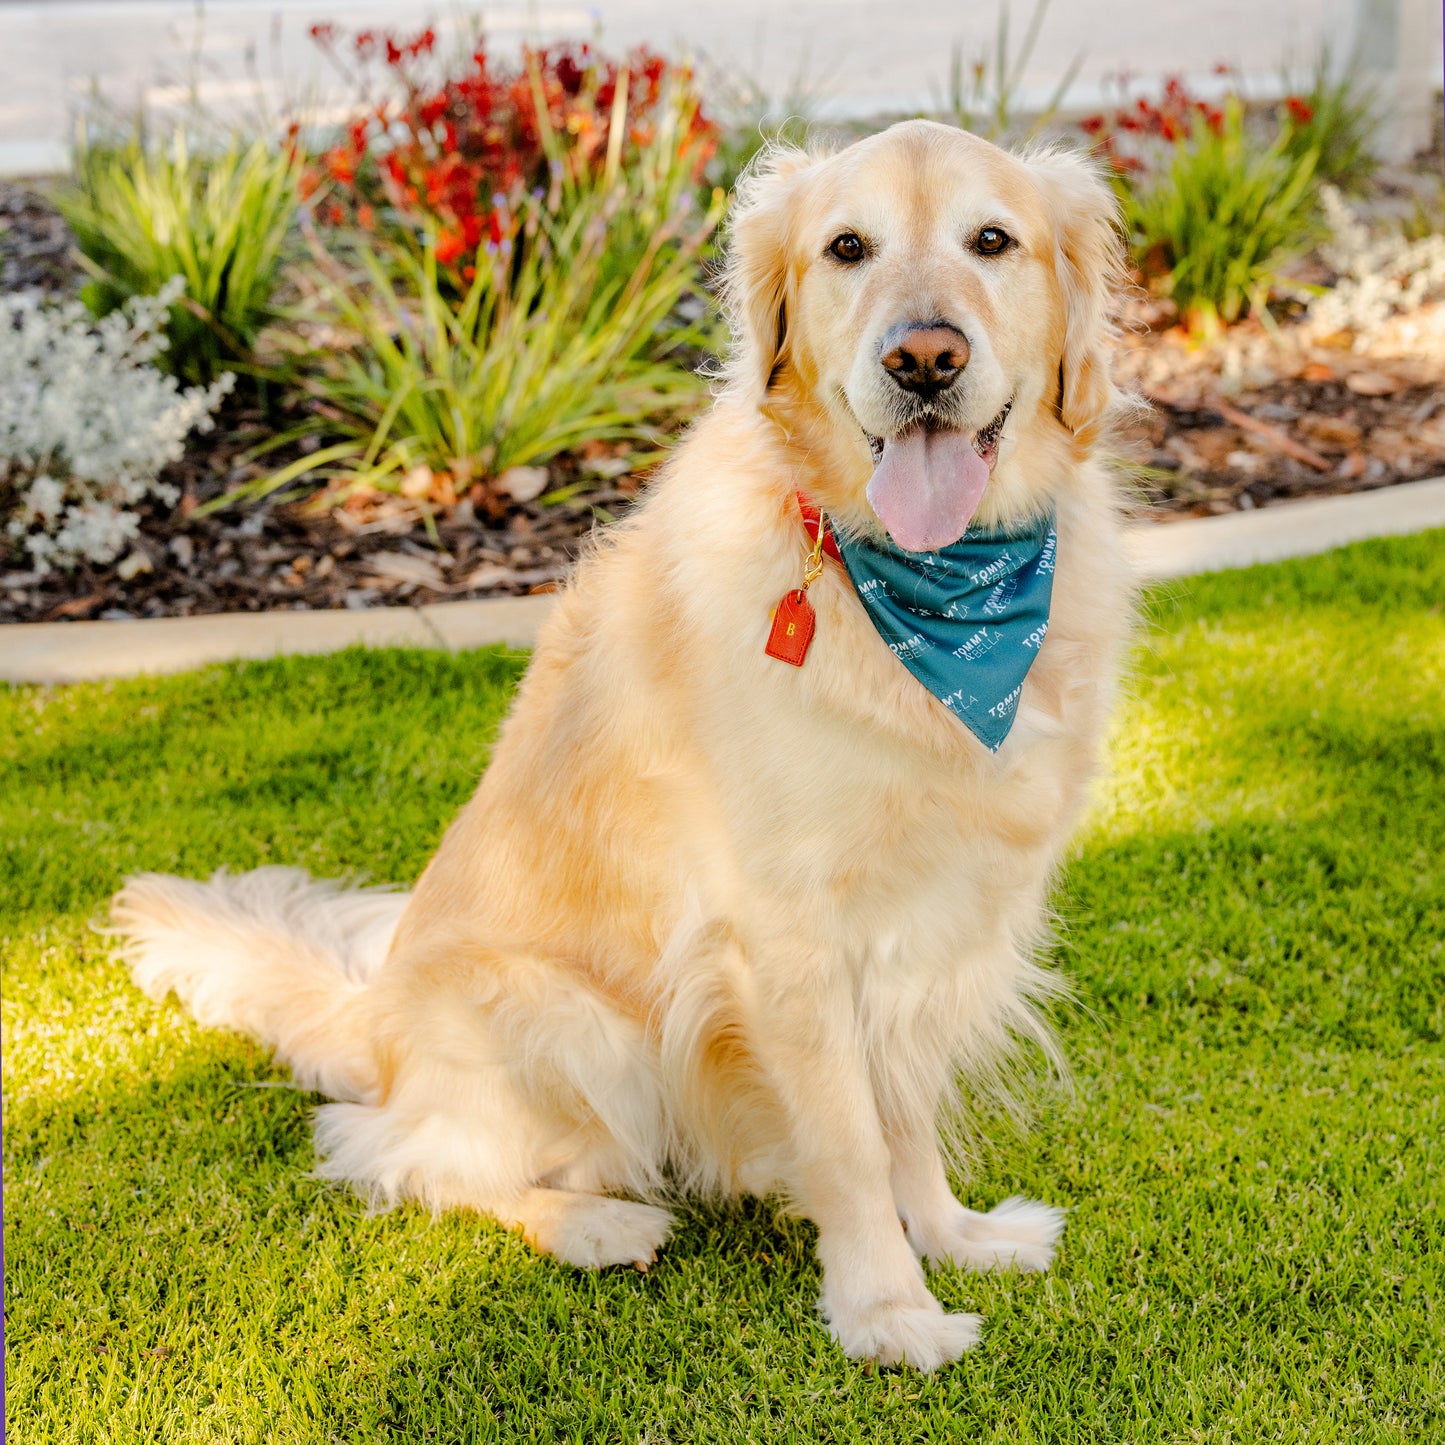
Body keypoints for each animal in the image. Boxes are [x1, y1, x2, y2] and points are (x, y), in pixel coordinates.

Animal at [112, 121, 1132, 1364]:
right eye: (847, 247)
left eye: (992, 240)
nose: (923, 360)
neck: (934, 602)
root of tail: (376, 1024)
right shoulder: (786, 939)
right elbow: (847, 1139)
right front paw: (886, 1310)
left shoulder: (929, 930)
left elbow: (908, 1110)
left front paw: (953, 1235)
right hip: (572, 1024)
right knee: (396, 1152)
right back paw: (595, 1222)